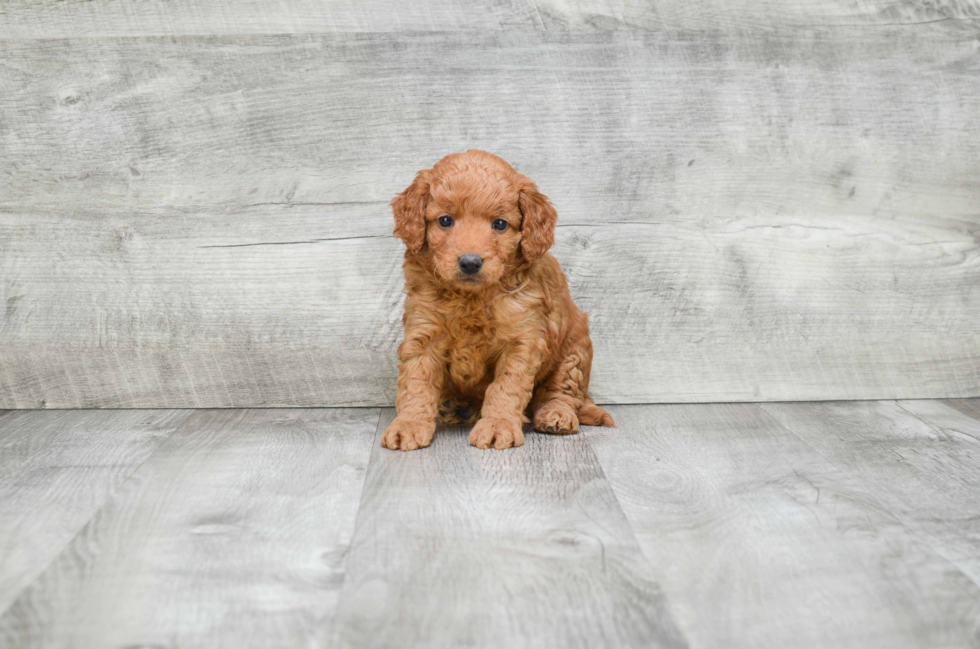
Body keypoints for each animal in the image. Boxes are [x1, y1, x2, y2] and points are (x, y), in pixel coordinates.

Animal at [382, 150, 612, 450]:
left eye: (500, 224)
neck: (471, 298)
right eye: (445, 220)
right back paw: (455, 407)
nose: (470, 262)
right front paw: (409, 424)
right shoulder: (423, 333)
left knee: (562, 391)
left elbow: (506, 387)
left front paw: (497, 425)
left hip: (573, 351)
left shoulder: (522, 340)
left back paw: (556, 414)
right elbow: (416, 382)